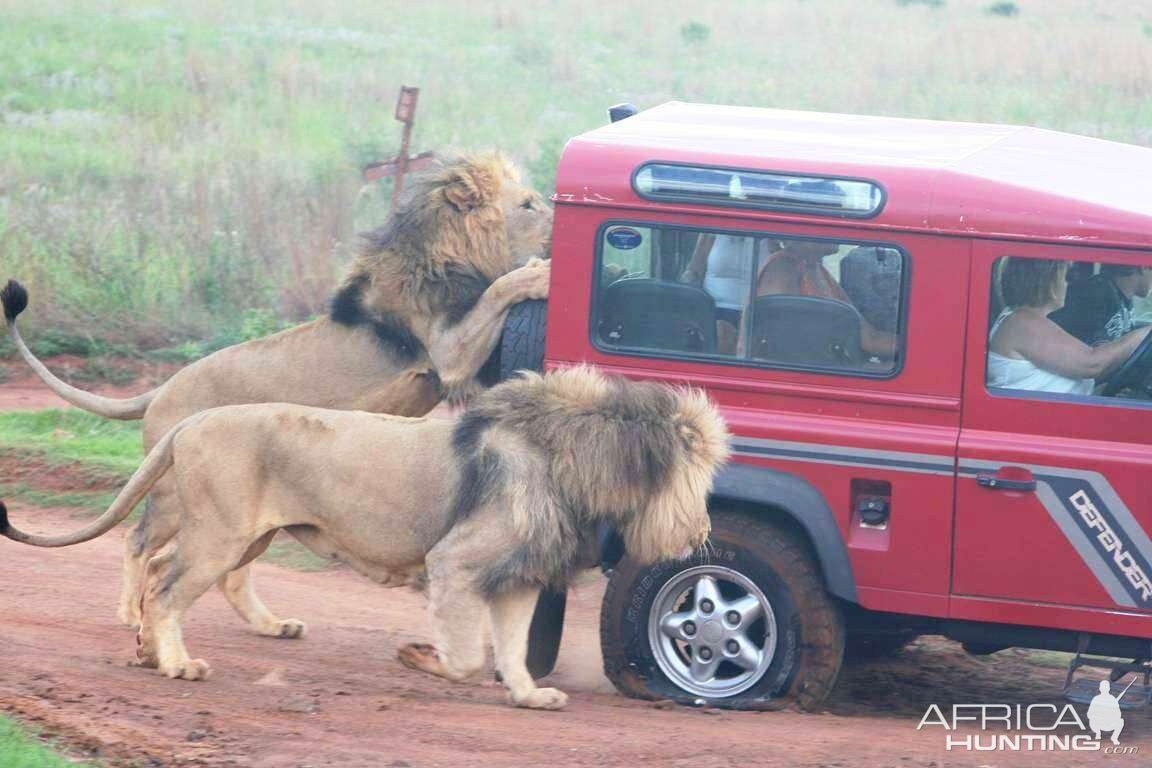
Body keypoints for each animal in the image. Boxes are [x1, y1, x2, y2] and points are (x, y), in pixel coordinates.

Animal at [0, 153, 552, 635]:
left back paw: (270, 625)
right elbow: (498, 289)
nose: (554, 219)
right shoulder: (446, 350)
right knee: (140, 542)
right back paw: (132, 615)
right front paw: (537, 275)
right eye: (528, 204)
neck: (450, 251)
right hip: (174, 494)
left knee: (229, 572)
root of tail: (159, 391)